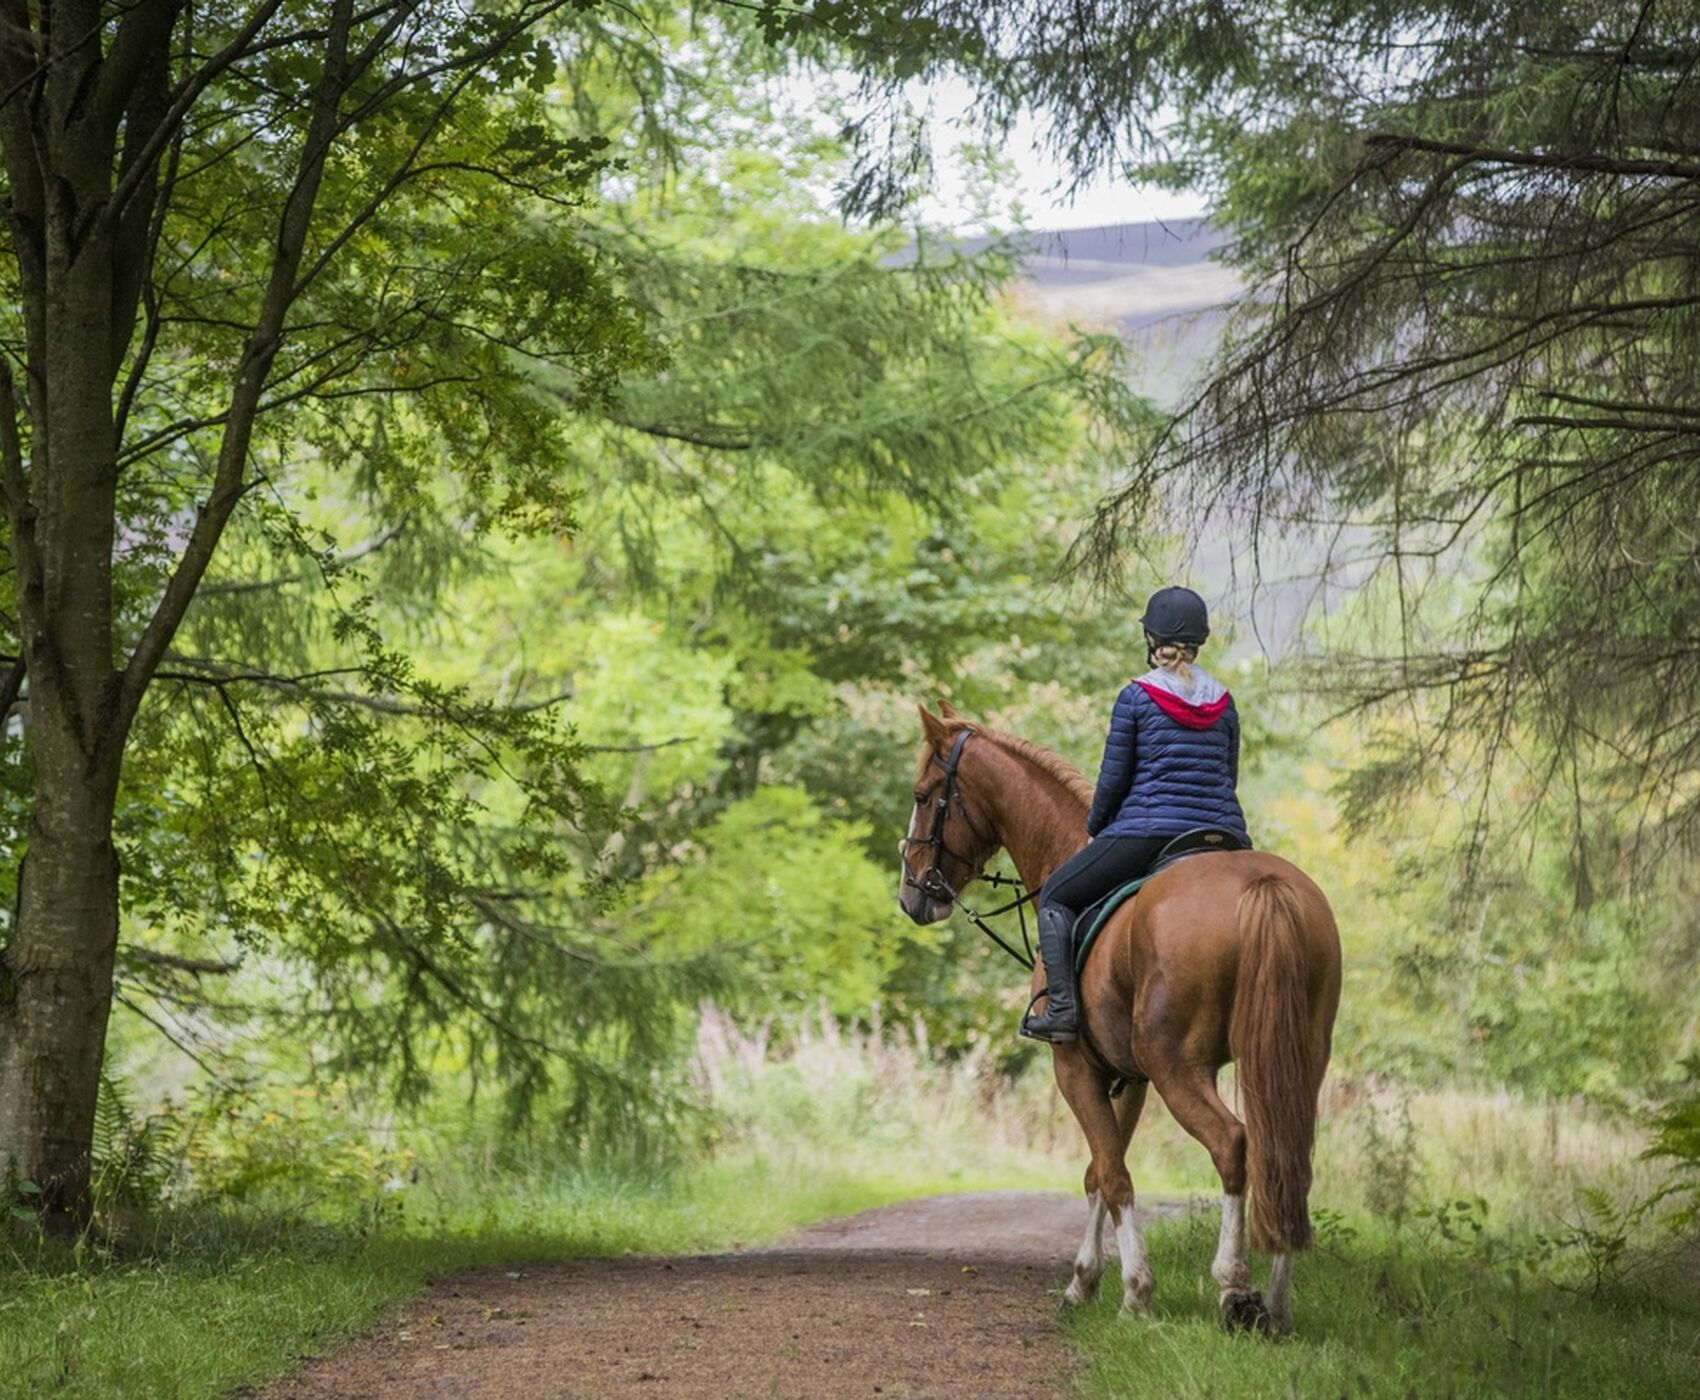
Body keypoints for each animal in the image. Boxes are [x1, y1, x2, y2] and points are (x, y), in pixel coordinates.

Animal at [904, 706, 1339, 1332]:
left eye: (922, 795)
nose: (912, 892)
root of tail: (1263, 885)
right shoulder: (1129, 1077)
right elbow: (1099, 1170)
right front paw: (1085, 1282)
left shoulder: (1076, 1068)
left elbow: (1111, 1174)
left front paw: (1133, 1292)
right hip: (1291, 1061)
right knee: (1287, 1153)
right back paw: (1278, 1306)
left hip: (1179, 1067)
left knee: (1233, 1144)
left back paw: (1236, 1288)